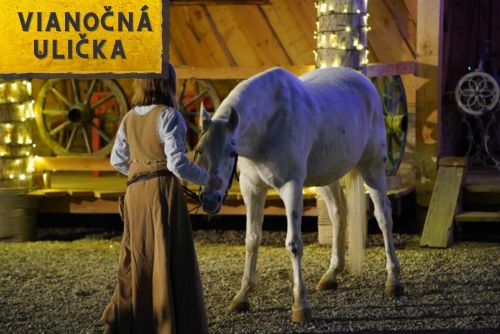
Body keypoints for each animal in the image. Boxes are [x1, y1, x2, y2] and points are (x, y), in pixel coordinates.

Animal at [195, 67, 402, 324]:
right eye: (199, 150)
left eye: (231, 151)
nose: (209, 199)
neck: (269, 124)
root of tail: (364, 81)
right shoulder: (252, 189)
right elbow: (252, 239)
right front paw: (242, 297)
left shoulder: (291, 187)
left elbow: (293, 244)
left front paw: (300, 305)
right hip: (326, 177)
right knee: (338, 214)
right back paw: (331, 274)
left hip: (372, 169)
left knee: (384, 217)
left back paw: (393, 281)